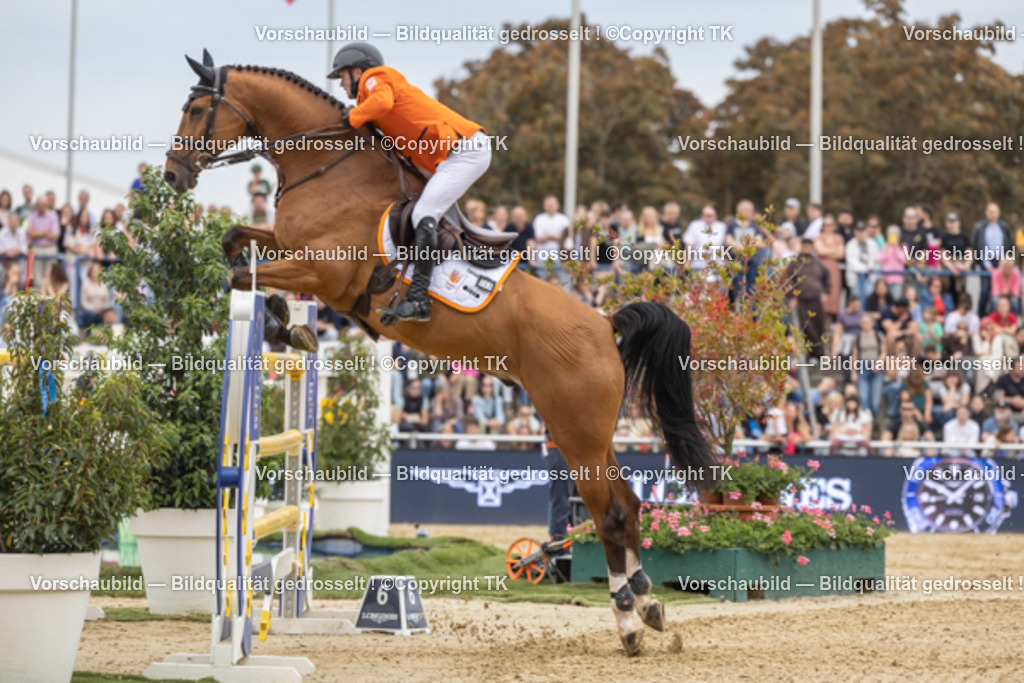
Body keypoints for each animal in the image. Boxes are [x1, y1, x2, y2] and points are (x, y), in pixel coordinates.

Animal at [163, 50, 712, 656]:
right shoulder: (289, 248)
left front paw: (288, 324)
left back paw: (628, 621)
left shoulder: (321, 271)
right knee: (628, 506)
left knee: (609, 512)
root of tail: (605, 323)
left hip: (575, 432)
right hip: (592, 432)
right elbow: (235, 242)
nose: (171, 174)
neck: (327, 166)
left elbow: (243, 273)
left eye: (195, 109)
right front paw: (291, 323)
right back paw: (650, 603)